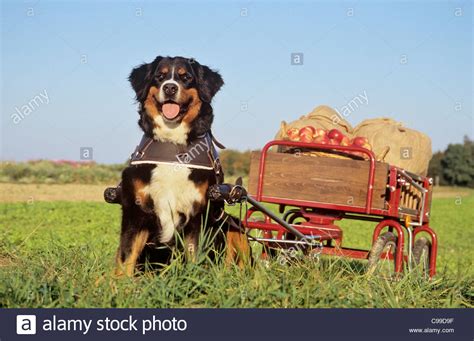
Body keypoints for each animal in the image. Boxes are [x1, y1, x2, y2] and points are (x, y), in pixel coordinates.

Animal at [114, 54, 250, 274]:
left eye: (186, 77)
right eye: (160, 76)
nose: (170, 87)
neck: (173, 146)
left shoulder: (199, 215)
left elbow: (195, 258)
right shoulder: (135, 212)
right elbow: (126, 257)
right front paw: (119, 284)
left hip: (233, 225)